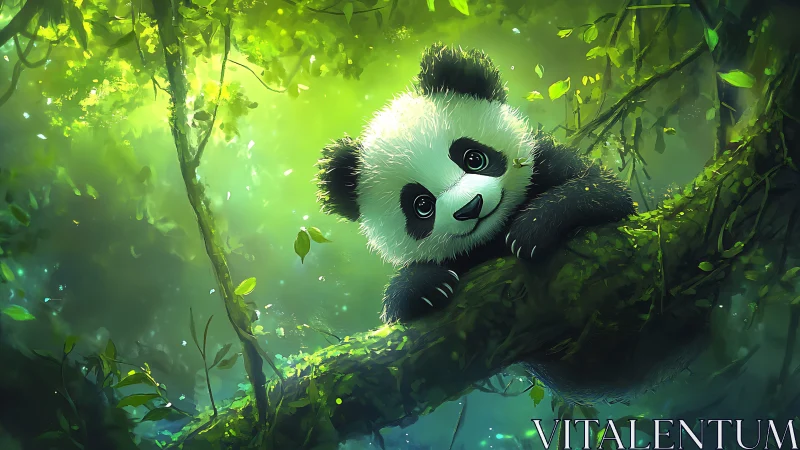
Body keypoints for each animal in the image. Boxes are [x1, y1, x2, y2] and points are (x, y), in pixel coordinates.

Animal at [315, 43, 636, 324]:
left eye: (473, 158)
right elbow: (398, 307)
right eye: (422, 205)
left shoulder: (547, 162)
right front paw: (423, 284)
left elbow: (604, 191)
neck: (494, 234)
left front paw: (532, 228)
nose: (471, 207)